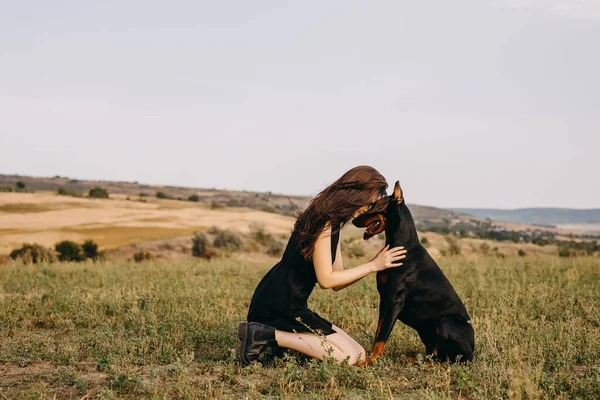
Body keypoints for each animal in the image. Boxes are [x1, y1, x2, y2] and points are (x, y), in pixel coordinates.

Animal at [352, 183, 474, 364]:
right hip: (426, 332)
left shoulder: (395, 301)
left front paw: (370, 361)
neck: (401, 246)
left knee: (445, 361)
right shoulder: (384, 300)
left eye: (375, 205)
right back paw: (410, 359)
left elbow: (382, 336)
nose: (353, 220)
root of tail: (473, 353)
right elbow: (379, 332)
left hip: (447, 323)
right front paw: (371, 357)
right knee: (434, 354)